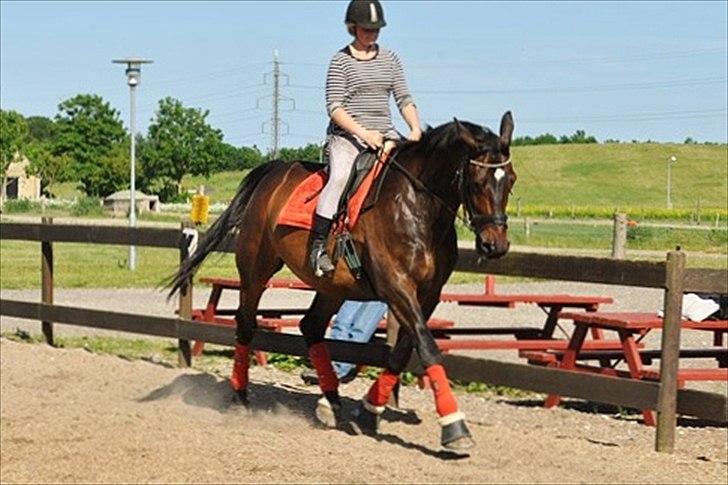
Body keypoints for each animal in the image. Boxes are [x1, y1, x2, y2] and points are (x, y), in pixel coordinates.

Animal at [168, 110, 516, 450]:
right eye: (477, 182)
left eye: (510, 179)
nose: (495, 245)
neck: (417, 208)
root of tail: (275, 171)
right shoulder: (396, 286)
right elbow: (428, 347)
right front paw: (454, 425)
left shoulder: (429, 294)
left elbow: (404, 350)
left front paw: (369, 410)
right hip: (256, 269)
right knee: (246, 323)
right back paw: (241, 396)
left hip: (333, 285)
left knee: (311, 325)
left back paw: (331, 400)